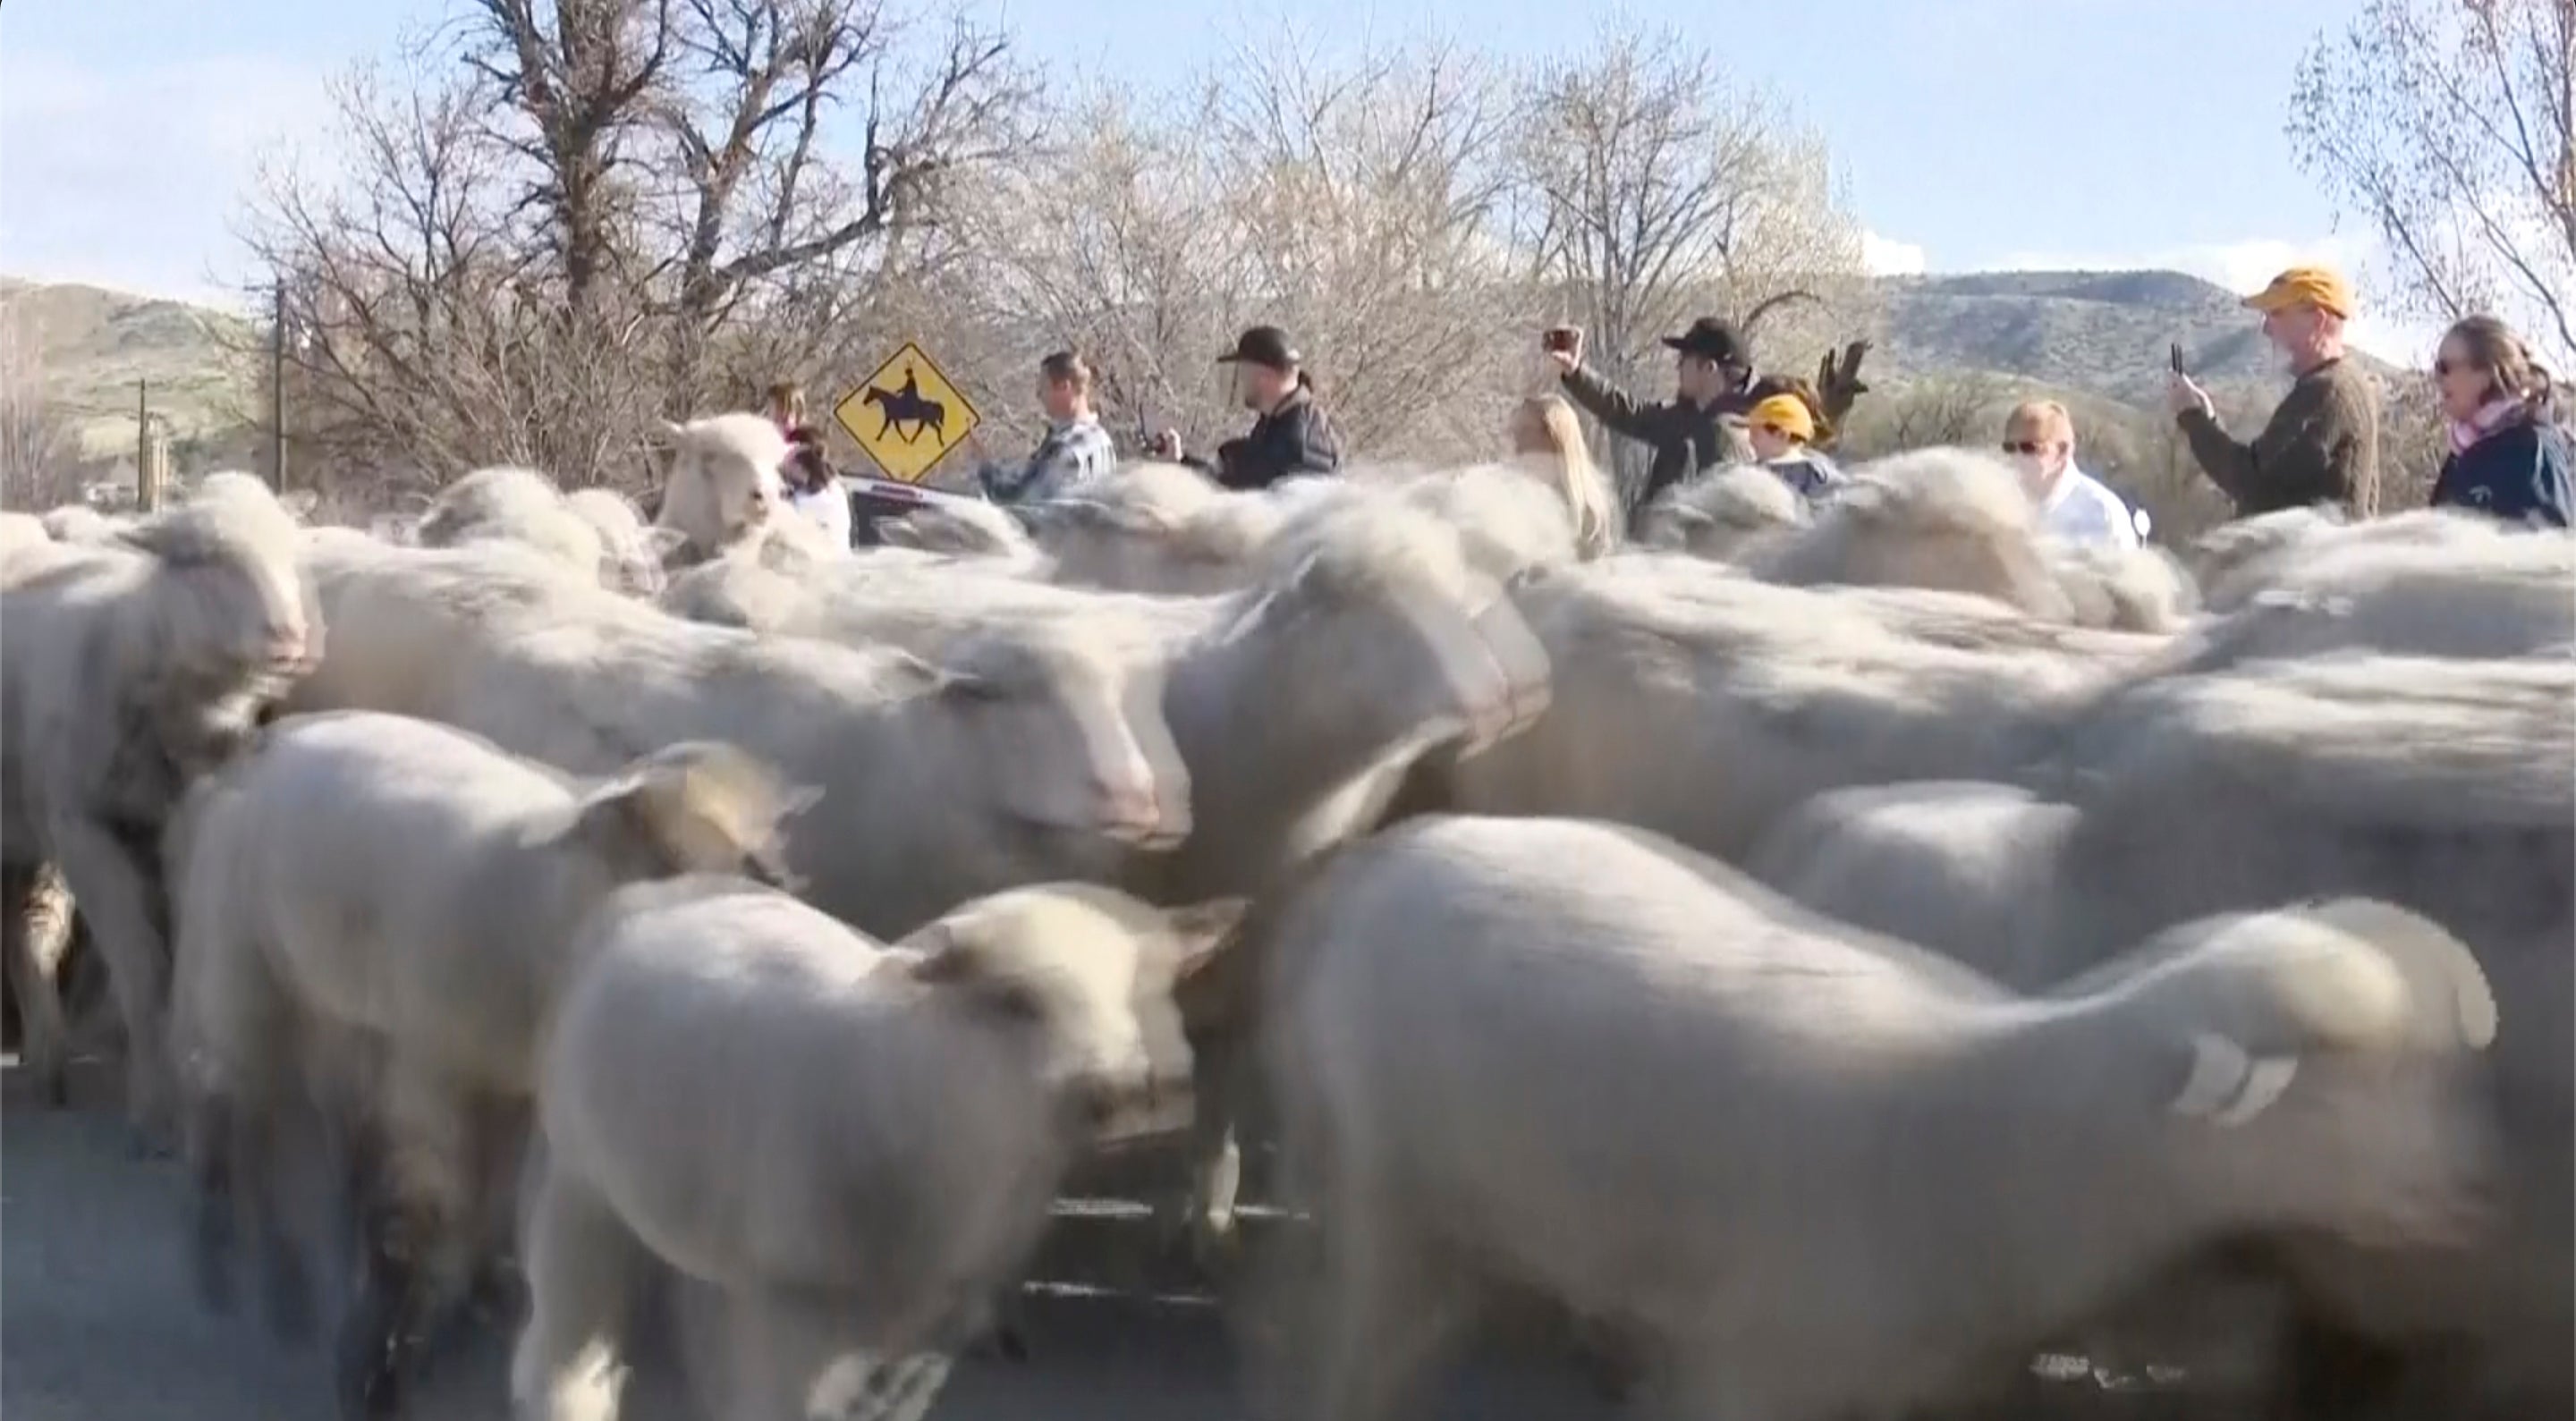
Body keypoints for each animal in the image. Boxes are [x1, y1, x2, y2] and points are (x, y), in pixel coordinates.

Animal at [1, 482, 316, 1138]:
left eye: (292, 553)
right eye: (200, 559)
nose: (290, 639)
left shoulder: (174, 824)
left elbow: (178, 963)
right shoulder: (84, 829)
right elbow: (140, 967)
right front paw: (153, 1107)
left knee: (27, 927)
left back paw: (48, 1061)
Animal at [167, 710, 806, 1418]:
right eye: (669, 849)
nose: (777, 891)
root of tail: (258, 748)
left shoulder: (508, 1085)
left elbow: (477, 1201)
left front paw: (453, 1305)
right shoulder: (435, 1062)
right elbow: (427, 1210)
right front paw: (383, 1363)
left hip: (328, 997)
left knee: (306, 1114)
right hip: (243, 964)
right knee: (234, 1100)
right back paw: (237, 1260)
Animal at [512, 877, 1230, 1421]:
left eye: (1147, 992)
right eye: (1014, 1000)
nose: (1136, 1095)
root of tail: (656, 889)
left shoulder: (931, 1327)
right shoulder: (794, 1308)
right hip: (581, 1183)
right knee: (565, 1351)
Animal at [1256, 813, 2501, 1421]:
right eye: (2338, 1082)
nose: (2481, 1189)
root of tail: (1368, 870)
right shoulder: (1754, 1364)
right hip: (1387, 1186)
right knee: (1348, 1349)